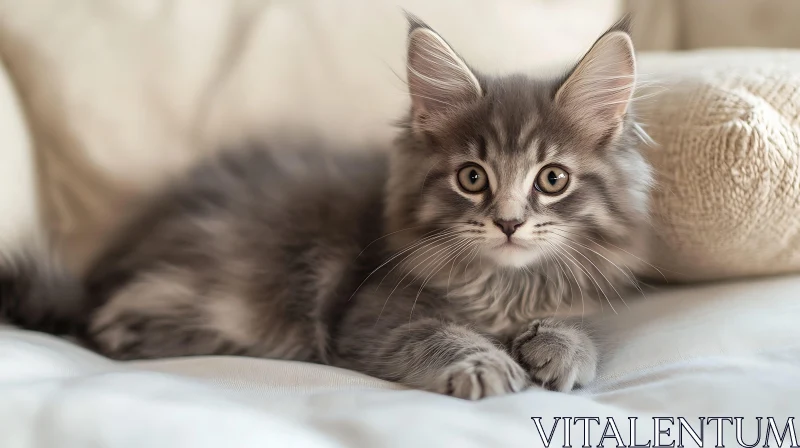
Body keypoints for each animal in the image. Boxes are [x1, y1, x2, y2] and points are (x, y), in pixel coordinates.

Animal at [0, 16, 648, 400]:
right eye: (472, 177)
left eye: (552, 178)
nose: (509, 223)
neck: (502, 287)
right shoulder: (370, 311)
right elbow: (435, 334)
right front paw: (484, 364)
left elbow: (576, 323)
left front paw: (564, 349)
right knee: (117, 326)